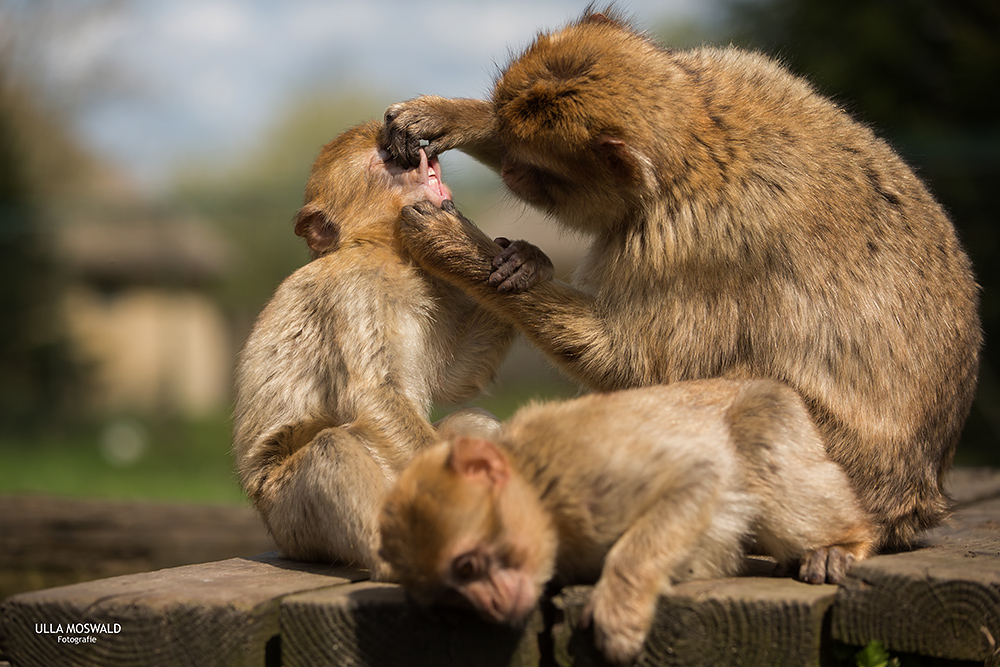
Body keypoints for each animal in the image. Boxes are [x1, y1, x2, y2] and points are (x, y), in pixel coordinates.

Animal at [230, 120, 552, 580]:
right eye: (388, 159)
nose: (424, 157)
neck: (385, 251)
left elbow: (455, 380)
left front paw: (526, 260)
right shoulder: (352, 290)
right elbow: (374, 395)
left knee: (471, 425)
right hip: (291, 520)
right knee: (332, 450)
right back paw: (396, 563)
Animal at [378, 378, 872, 664]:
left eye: (467, 567)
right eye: (450, 598)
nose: (492, 605)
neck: (539, 493)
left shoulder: (582, 479)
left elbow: (697, 476)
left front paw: (619, 609)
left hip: (782, 415)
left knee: (758, 433)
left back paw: (845, 543)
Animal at [382, 9, 984, 552]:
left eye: (539, 171)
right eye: (510, 146)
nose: (509, 169)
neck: (696, 138)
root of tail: (915, 503)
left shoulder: (693, 244)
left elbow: (638, 366)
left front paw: (458, 247)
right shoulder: (743, 71)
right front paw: (453, 117)